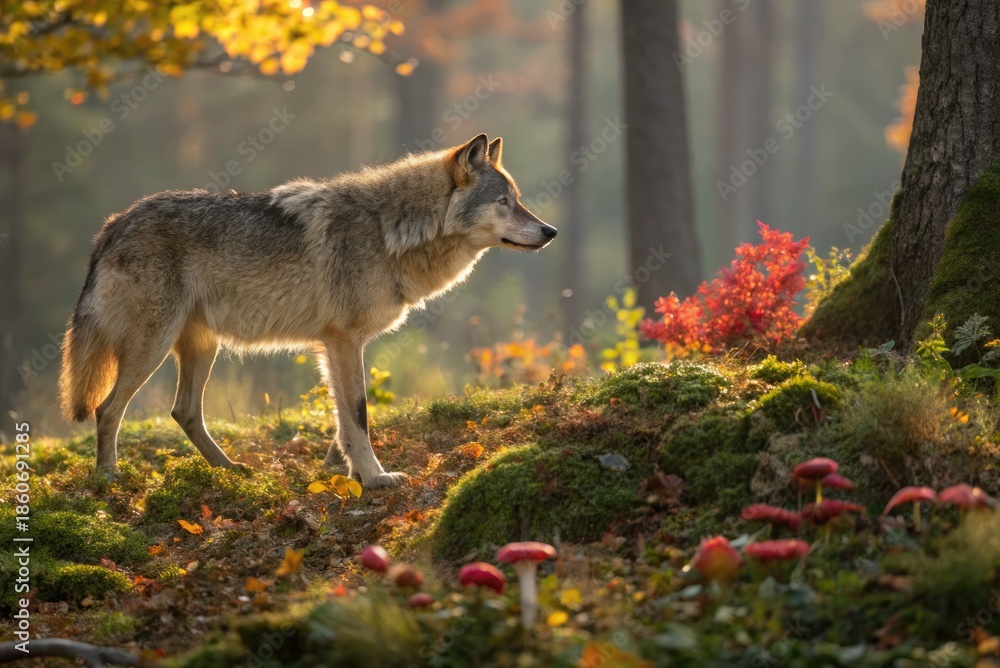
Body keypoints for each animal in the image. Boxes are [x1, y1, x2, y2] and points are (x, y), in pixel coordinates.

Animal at [59, 134, 556, 488]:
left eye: (517, 199)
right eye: (504, 202)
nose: (551, 231)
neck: (390, 231)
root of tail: (110, 226)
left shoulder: (333, 345)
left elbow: (343, 418)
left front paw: (346, 469)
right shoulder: (344, 339)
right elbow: (358, 413)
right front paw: (375, 478)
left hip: (201, 348)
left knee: (184, 412)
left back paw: (230, 470)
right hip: (154, 347)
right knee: (107, 409)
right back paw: (108, 479)